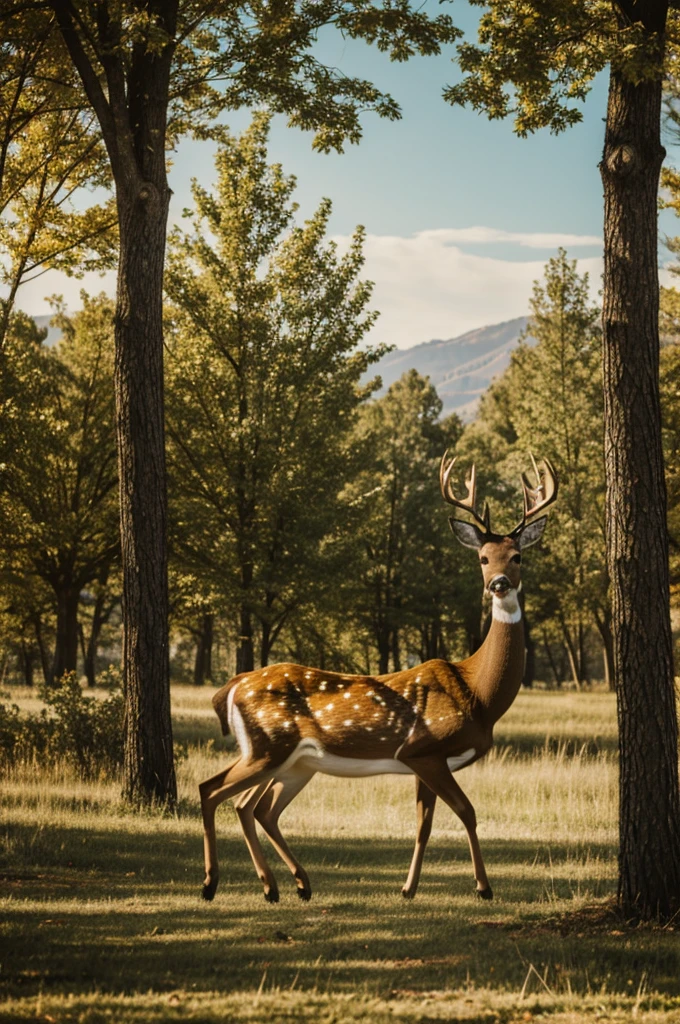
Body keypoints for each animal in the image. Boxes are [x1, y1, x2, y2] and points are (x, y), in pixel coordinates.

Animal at [199, 452, 558, 904]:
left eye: (517, 556)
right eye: (482, 557)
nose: (498, 584)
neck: (478, 693)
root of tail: (231, 686)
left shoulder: (427, 761)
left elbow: (424, 823)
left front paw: (408, 888)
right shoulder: (424, 748)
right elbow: (468, 812)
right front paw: (483, 887)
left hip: (293, 760)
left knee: (253, 806)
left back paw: (289, 885)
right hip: (269, 746)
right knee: (214, 791)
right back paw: (215, 884)